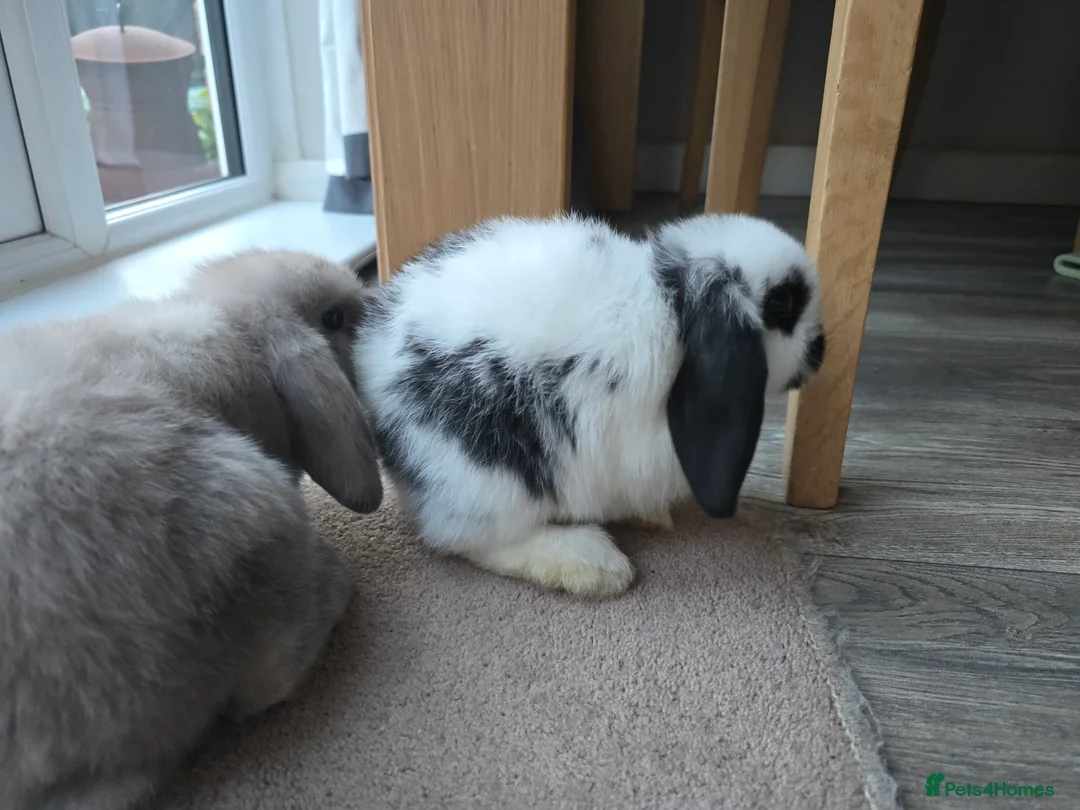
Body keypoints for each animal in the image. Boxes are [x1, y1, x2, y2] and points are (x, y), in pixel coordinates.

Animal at [353, 213, 825, 599]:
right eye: (781, 303)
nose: (821, 348)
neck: (673, 308)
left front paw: (653, 516)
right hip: (489, 475)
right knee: (468, 539)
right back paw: (595, 565)